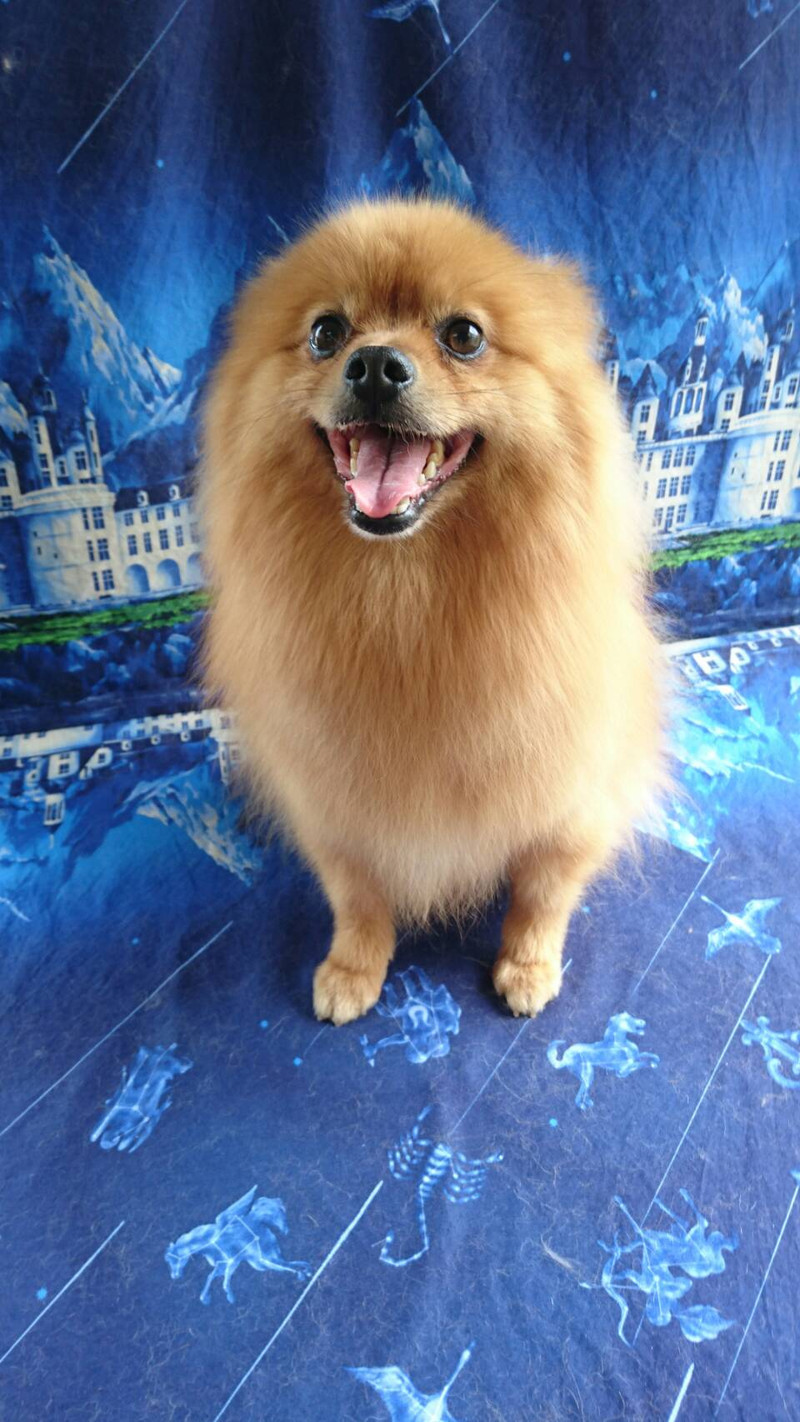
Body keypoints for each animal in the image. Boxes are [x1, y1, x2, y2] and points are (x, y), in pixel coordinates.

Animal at [201, 198, 662, 1025]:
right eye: (326, 332)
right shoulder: (333, 800)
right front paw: (353, 968)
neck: (404, 600)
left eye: (464, 336)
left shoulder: (571, 797)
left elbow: (544, 890)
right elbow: (357, 896)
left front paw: (527, 964)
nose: (376, 365)